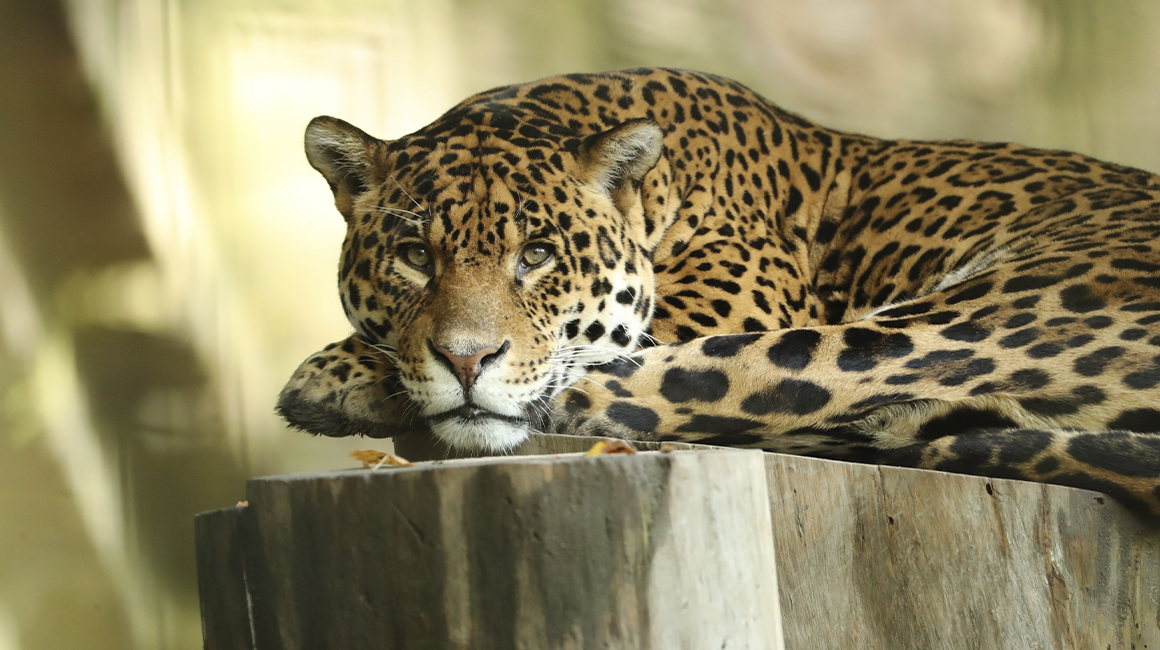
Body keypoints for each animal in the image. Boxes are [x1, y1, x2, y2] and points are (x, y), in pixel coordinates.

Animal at [277, 67, 1160, 514]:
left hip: (984, 308)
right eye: (414, 256)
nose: (466, 362)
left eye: (538, 254)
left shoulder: (734, 300)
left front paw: (345, 369)